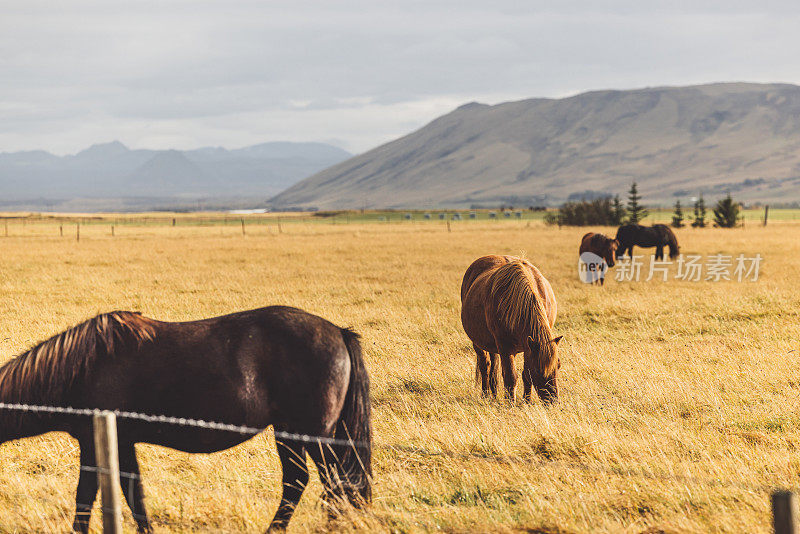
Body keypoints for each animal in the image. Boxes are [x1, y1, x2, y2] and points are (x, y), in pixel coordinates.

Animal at [0, 308, 374, 532]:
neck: (80, 368)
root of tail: (339, 332)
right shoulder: (121, 443)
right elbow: (133, 494)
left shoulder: (96, 443)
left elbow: (86, 497)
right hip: (289, 433)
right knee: (302, 482)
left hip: (312, 435)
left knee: (335, 484)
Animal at [460, 258, 564, 404]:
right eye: (538, 370)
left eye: (558, 365)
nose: (553, 401)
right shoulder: (506, 348)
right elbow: (510, 377)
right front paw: (511, 403)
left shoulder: (528, 347)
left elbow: (525, 375)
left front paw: (526, 401)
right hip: (478, 343)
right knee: (485, 366)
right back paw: (486, 395)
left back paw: (494, 394)